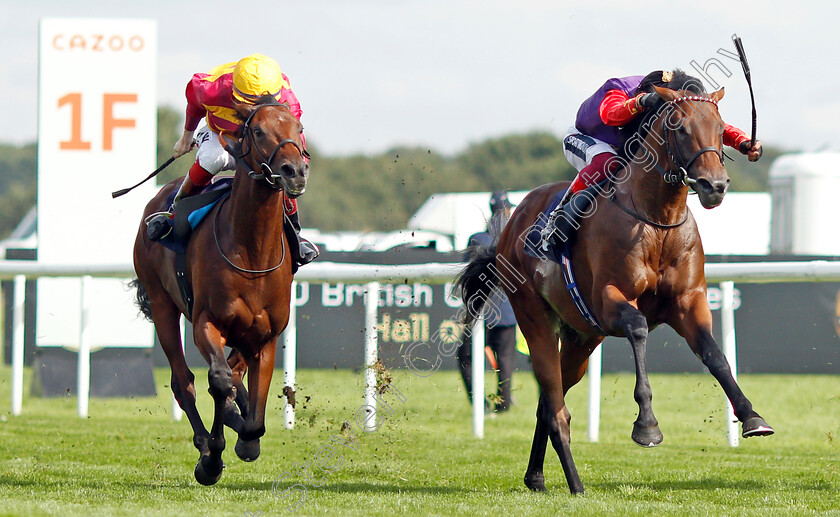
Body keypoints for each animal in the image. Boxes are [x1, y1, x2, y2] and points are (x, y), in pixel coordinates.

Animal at [130, 95, 304, 484]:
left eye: (298, 128)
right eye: (258, 131)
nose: (295, 171)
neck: (252, 253)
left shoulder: (266, 336)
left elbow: (252, 412)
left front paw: (245, 435)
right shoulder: (206, 323)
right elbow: (219, 382)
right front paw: (213, 457)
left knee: (231, 374)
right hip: (162, 305)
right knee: (184, 382)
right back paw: (207, 445)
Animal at [460, 83, 776, 492]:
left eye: (722, 128)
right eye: (680, 127)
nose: (715, 186)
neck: (657, 221)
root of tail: (513, 223)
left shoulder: (688, 301)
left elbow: (714, 354)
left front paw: (752, 417)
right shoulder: (610, 300)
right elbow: (638, 328)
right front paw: (647, 426)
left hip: (581, 337)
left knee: (550, 402)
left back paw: (536, 476)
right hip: (534, 318)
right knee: (555, 406)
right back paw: (576, 486)